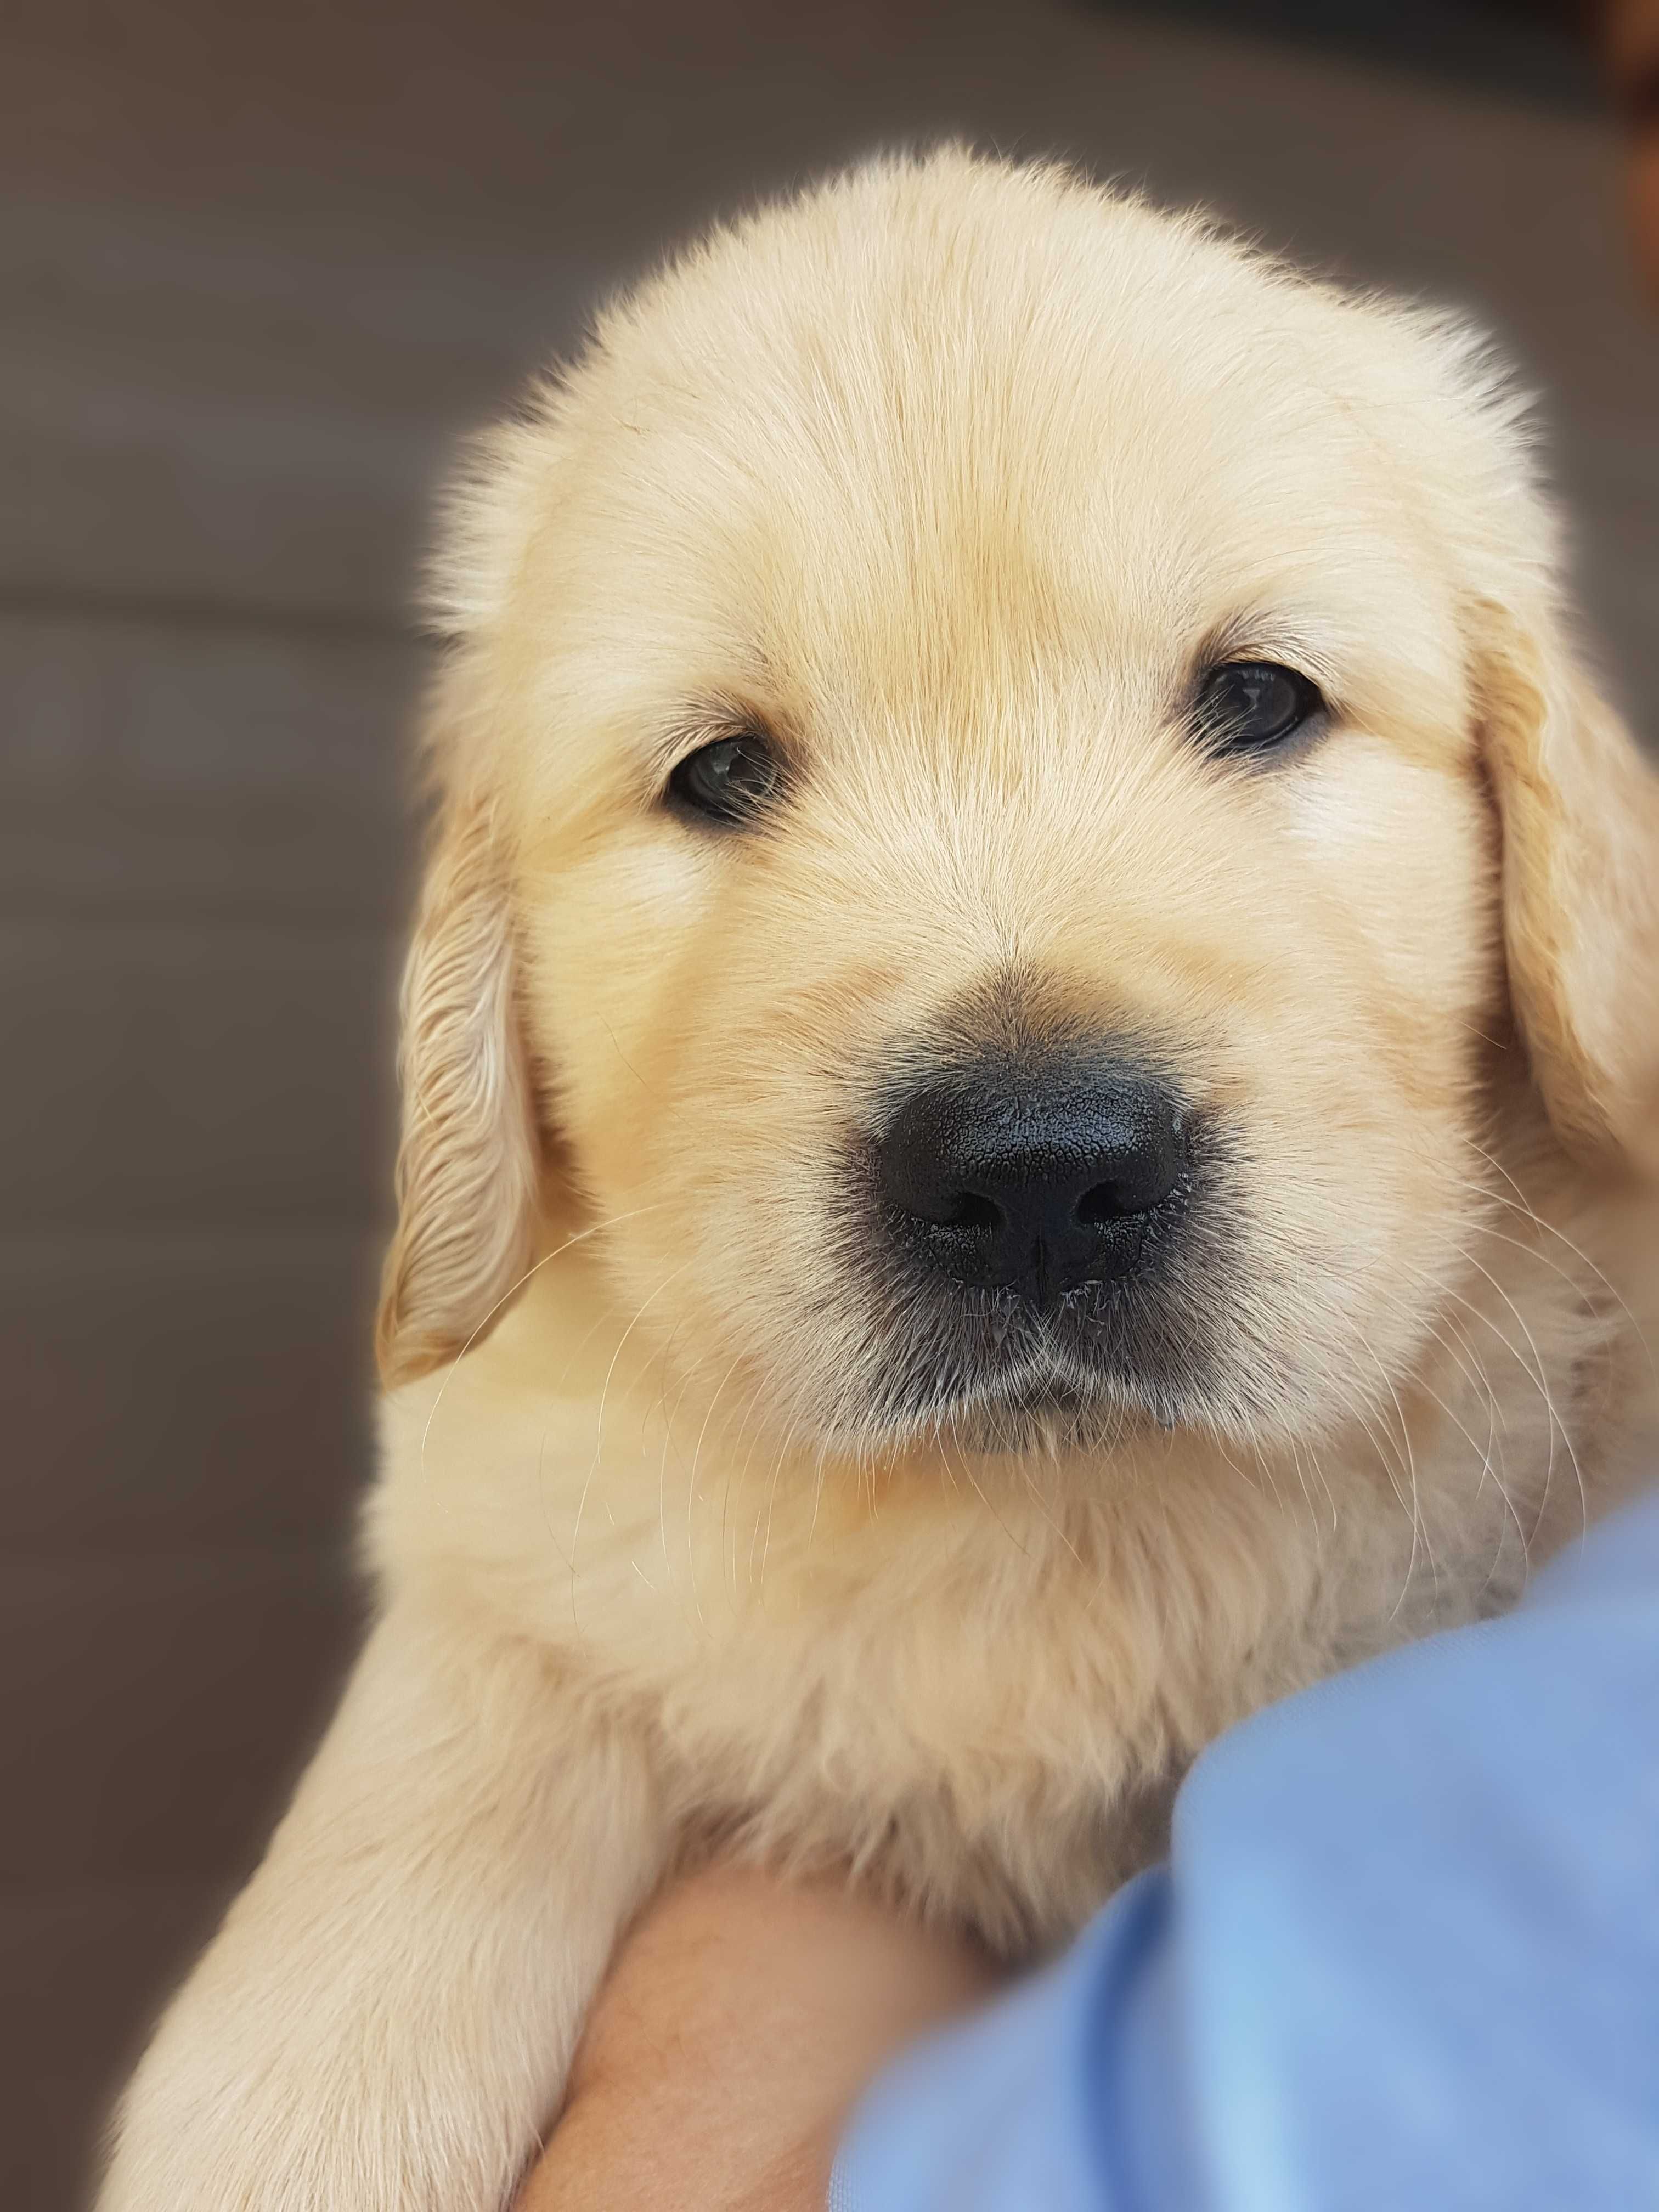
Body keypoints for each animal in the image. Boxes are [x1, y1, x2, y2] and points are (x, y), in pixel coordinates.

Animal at [104, 151, 1659, 2212]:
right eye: (719, 772)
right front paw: (301, 2106)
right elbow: (442, 1769)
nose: (1037, 1175)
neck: (1046, 1533)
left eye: (1260, 699)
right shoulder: (522, 1541)